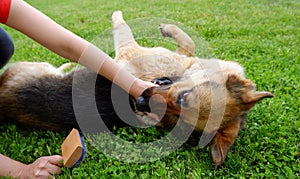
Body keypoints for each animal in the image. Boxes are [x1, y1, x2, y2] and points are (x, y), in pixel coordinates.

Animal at [0, 11, 274, 166]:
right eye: (183, 97)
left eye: (179, 120)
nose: (141, 103)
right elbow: (190, 43)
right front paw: (170, 30)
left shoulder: (128, 49)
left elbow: (123, 28)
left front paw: (118, 15)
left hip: (34, 66)